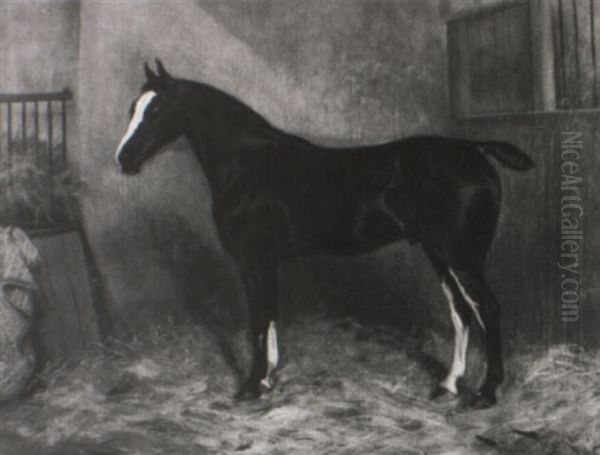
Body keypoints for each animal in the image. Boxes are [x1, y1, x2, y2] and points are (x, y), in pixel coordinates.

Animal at [115, 61, 532, 410]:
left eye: (157, 110)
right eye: (133, 107)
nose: (123, 159)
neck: (248, 164)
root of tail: (475, 149)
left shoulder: (254, 259)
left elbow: (258, 320)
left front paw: (251, 386)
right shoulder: (266, 262)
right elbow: (270, 316)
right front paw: (269, 378)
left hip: (462, 256)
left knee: (487, 309)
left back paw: (486, 392)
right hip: (439, 253)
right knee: (460, 311)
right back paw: (448, 384)